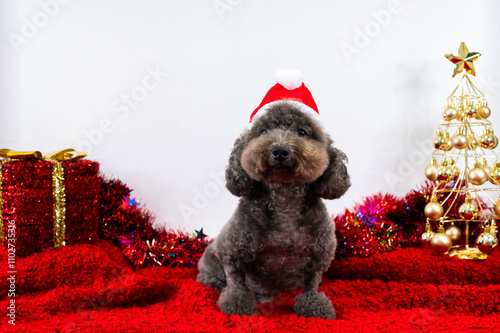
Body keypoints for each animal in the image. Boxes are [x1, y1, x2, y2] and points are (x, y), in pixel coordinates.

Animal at [197, 100, 350, 316]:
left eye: (302, 132)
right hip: (211, 257)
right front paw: (237, 305)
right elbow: (236, 282)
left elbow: (312, 284)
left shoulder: (319, 256)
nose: (280, 150)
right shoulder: (231, 251)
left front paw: (314, 307)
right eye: (263, 131)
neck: (284, 203)